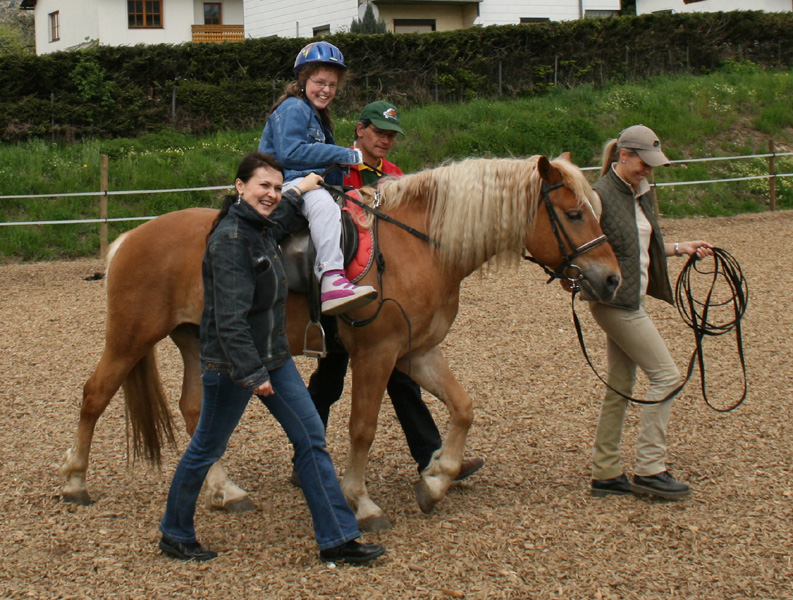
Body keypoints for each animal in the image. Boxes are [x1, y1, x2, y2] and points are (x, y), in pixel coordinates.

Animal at [59, 154, 621, 532]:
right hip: (131, 337)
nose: (611, 279)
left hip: (199, 341)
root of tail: (130, 238)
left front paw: (438, 477)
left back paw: (225, 490)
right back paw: (74, 481)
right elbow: (362, 429)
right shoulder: (377, 354)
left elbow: (463, 408)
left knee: (195, 409)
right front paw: (361, 500)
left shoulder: (417, 352)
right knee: (94, 395)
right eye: (574, 214)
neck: (420, 246)